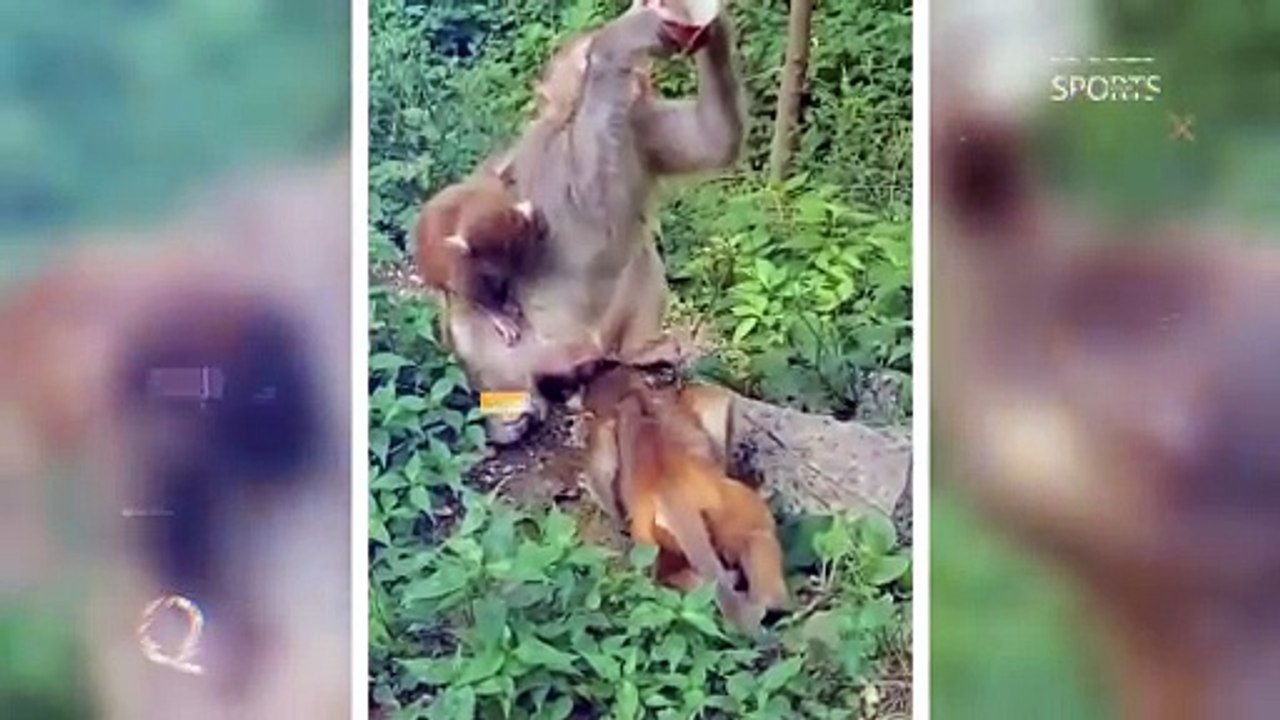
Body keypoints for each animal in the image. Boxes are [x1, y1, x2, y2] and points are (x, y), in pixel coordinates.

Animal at [414, 170, 546, 345]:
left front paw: (507, 293)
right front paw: (498, 313)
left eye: (511, 252)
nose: (499, 273)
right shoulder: (463, 257)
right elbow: (468, 285)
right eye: (489, 264)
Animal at [442, 2, 745, 445]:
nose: (640, 79)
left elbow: (713, 142)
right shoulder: (553, 157)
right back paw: (513, 408)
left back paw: (639, 351)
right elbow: (587, 212)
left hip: (604, 339)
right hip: (533, 351)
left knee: (639, 254)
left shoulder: (642, 127)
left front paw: (713, 28)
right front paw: (620, 42)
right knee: (466, 308)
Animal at [582, 365, 788, 635]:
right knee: (759, 533)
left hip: (652, 536)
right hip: (725, 504)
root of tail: (670, 493)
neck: (629, 395)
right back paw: (773, 605)